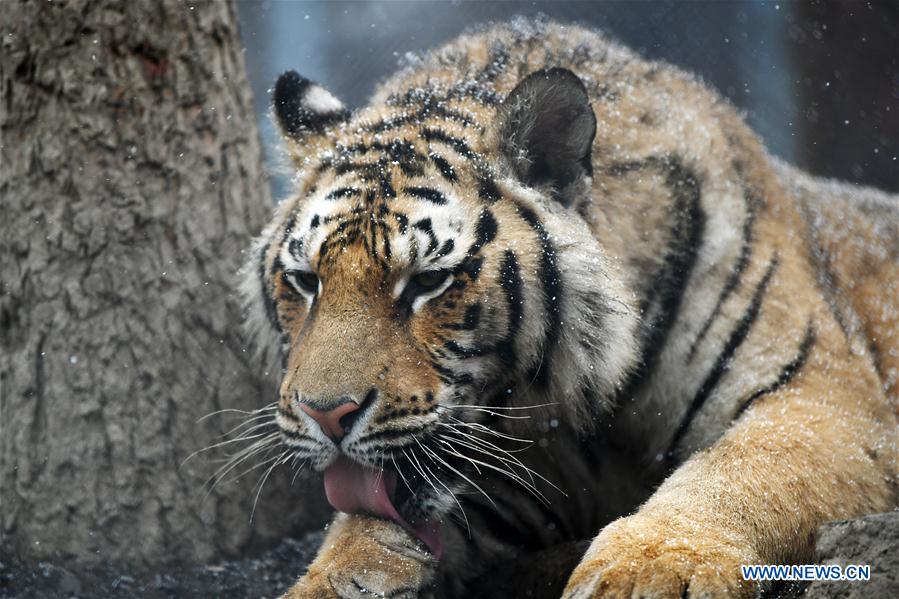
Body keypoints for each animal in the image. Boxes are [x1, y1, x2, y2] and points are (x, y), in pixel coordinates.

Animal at [241, 17, 899, 599]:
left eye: (428, 282)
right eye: (305, 281)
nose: (326, 415)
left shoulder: (823, 398)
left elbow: (740, 470)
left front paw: (645, 570)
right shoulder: (534, 480)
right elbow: (361, 530)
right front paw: (327, 583)